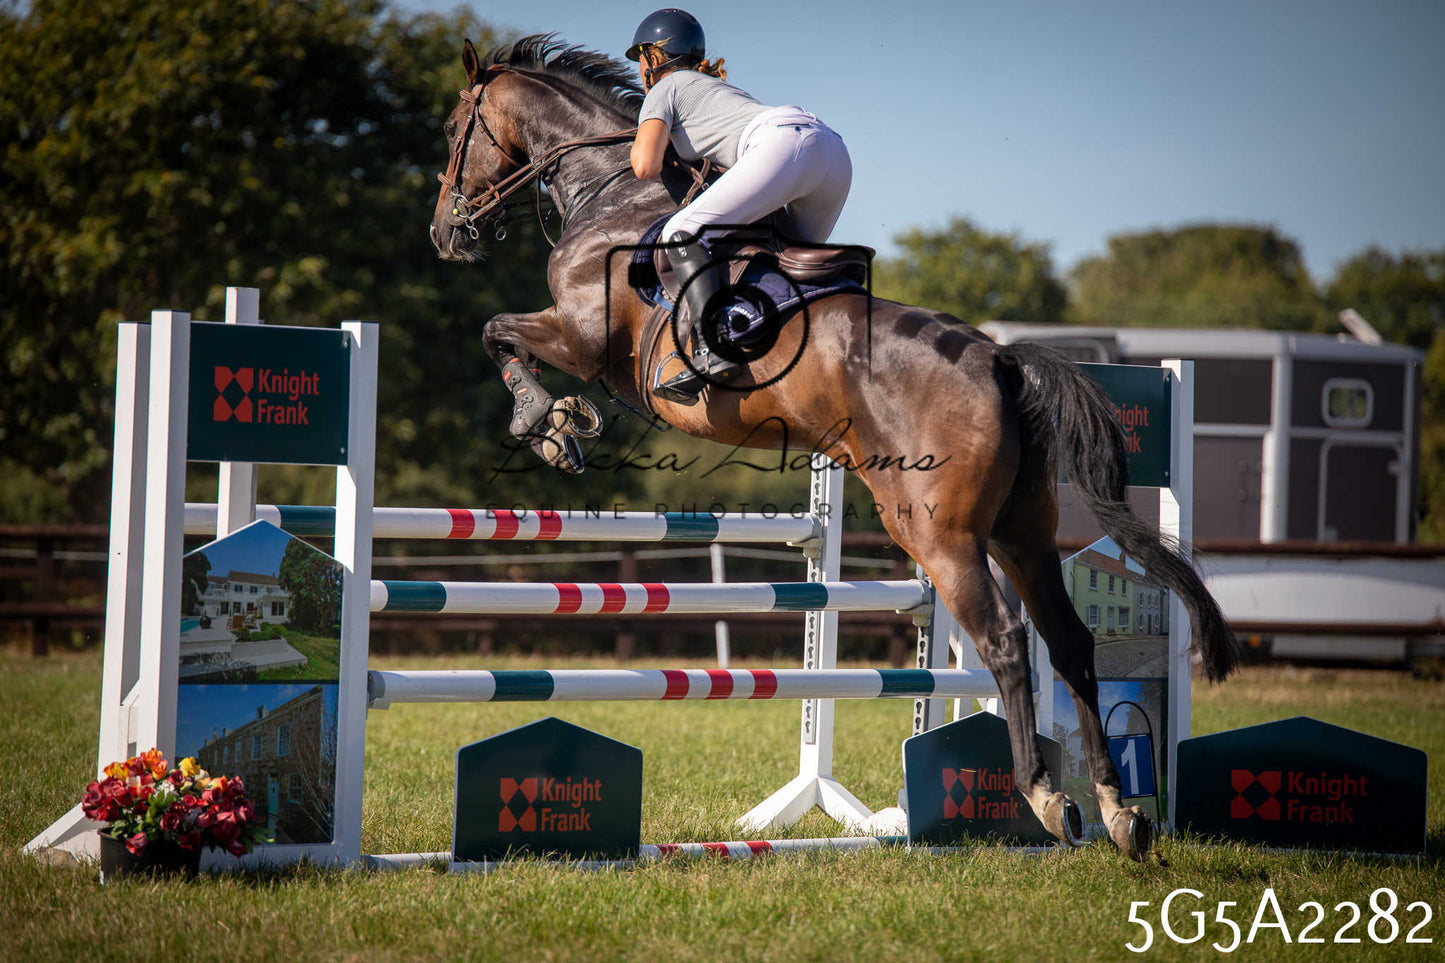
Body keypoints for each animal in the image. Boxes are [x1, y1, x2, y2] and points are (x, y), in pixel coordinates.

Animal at [428, 35, 1238, 861]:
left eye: (455, 129)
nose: (444, 231)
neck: (613, 192)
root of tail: (999, 359)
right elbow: (502, 334)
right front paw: (560, 420)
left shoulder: (580, 336)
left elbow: (497, 330)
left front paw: (548, 423)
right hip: (1021, 530)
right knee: (1070, 642)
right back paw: (1118, 810)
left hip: (939, 532)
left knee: (1008, 641)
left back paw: (1048, 799)